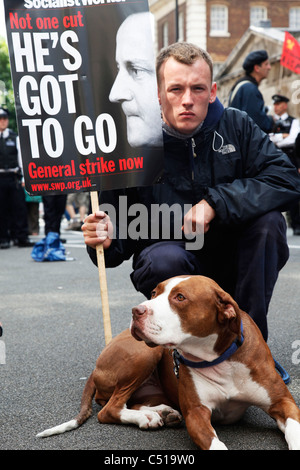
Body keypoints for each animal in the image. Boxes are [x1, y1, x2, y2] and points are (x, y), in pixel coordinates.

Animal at [37, 276, 300, 452]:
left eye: (180, 297)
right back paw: (146, 417)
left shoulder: (282, 402)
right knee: (109, 408)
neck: (219, 358)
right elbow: (215, 444)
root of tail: (96, 365)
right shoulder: (197, 414)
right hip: (144, 353)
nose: (136, 310)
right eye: (154, 293)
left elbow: (295, 429)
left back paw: (161, 412)